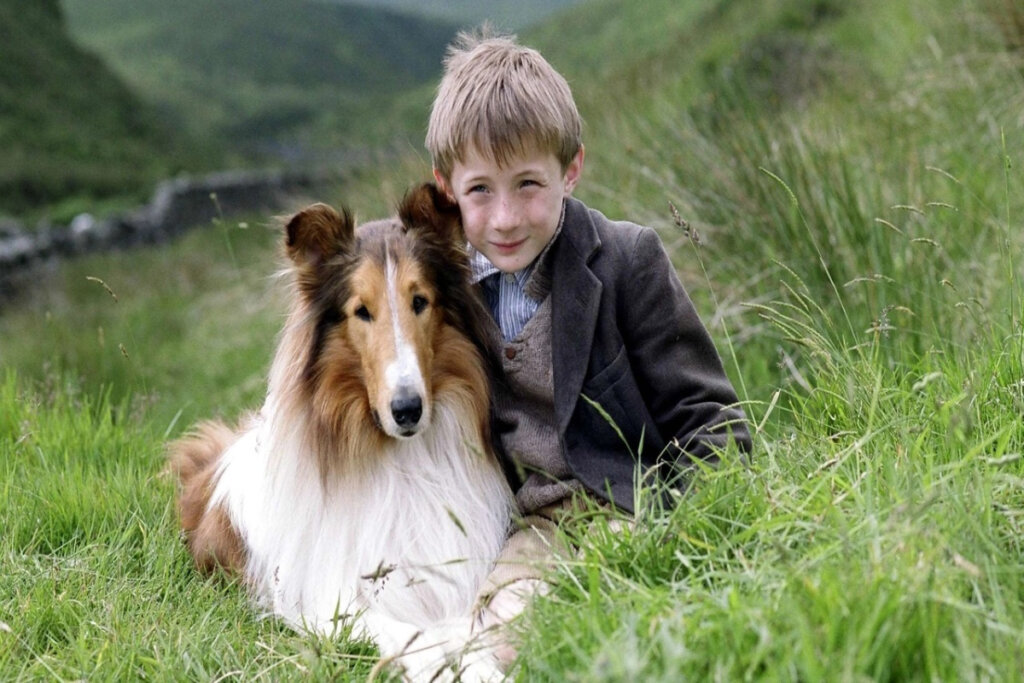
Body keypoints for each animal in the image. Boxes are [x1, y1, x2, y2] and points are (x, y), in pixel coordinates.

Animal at [173, 184, 520, 679]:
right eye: (362, 311)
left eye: (420, 301)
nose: (407, 410)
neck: (403, 462)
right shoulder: (337, 601)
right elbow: (420, 637)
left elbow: (464, 630)